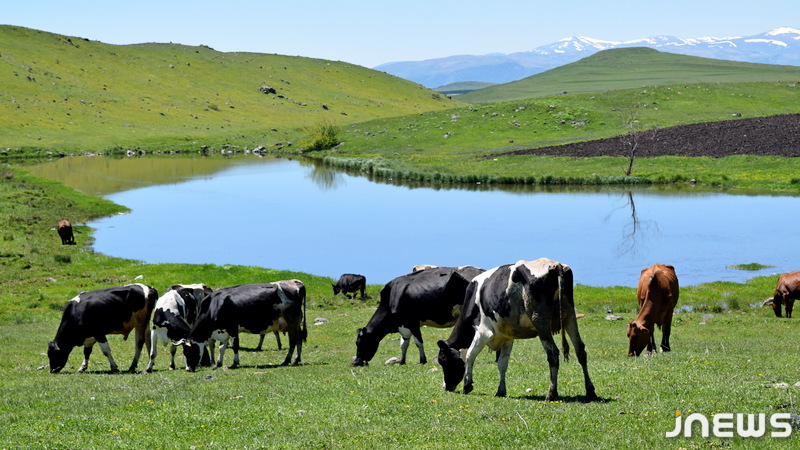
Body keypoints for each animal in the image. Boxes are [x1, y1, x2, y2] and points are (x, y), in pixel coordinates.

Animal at [354, 266, 484, 368]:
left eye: (358, 343)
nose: (355, 362)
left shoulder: (411, 322)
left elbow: (418, 342)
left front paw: (422, 360)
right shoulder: (404, 324)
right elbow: (404, 344)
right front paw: (402, 361)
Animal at [434, 260, 596, 400]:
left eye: (443, 361)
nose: (446, 387)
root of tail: (555, 265)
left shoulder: (483, 332)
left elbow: (470, 356)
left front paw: (467, 385)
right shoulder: (507, 336)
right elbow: (502, 363)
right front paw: (501, 391)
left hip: (540, 318)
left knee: (553, 353)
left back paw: (551, 394)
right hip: (570, 315)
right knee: (580, 350)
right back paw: (590, 392)